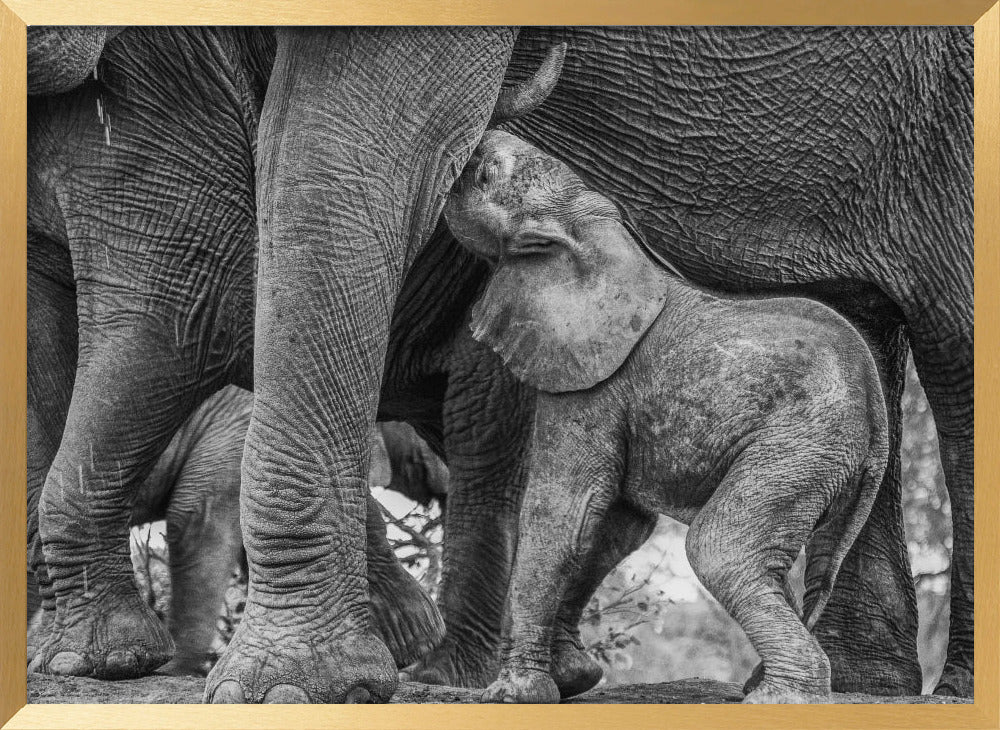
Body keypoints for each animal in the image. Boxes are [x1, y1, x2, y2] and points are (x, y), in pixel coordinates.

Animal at [444, 130, 891, 704]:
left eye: (486, 173)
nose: (480, 139)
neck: (597, 230)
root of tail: (876, 410)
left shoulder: (594, 382)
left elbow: (563, 513)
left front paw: (513, 694)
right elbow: (615, 525)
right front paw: (574, 679)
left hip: (800, 444)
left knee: (719, 547)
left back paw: (777, 698)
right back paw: (761, 686)